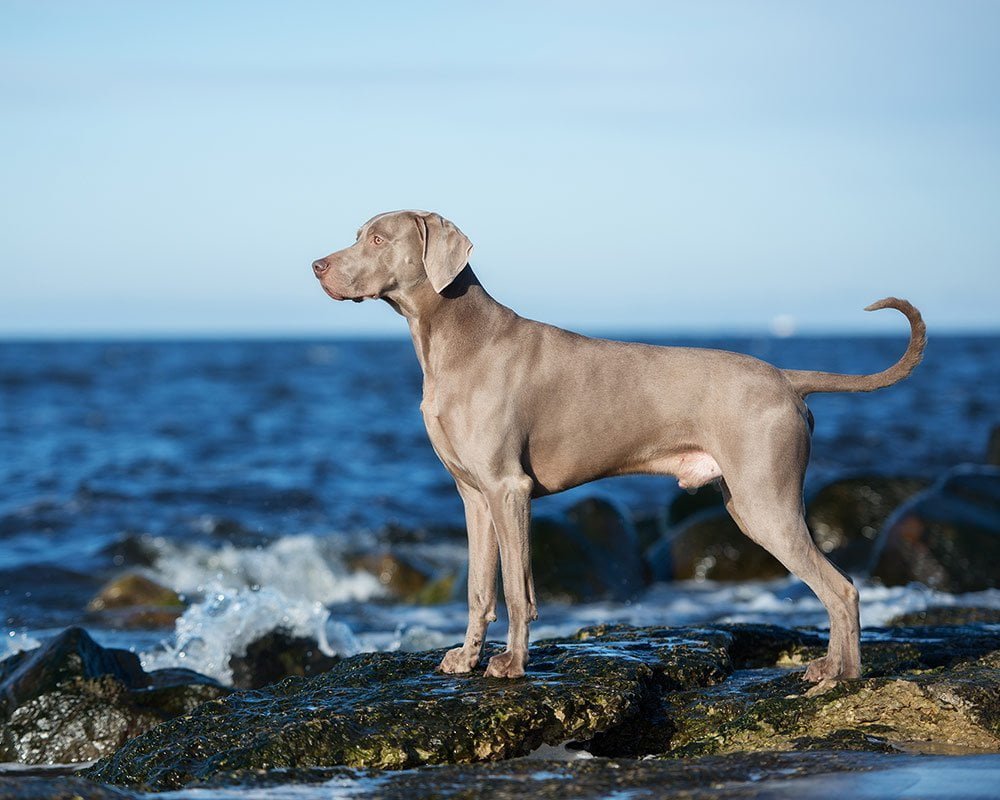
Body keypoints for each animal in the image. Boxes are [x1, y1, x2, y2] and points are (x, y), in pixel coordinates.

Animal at [310, 211, 920, 680]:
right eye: (359, 232)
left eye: (379, 239)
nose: (317, 266)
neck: (453, 340)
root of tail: (786, 378)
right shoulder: (474, 496)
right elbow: (480, 589)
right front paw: (465, 659)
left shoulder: (509, 489)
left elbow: (518, 589)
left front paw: (511, 666)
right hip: (750, 504)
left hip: (765, 501)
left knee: (842, 588)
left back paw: (840, 676)